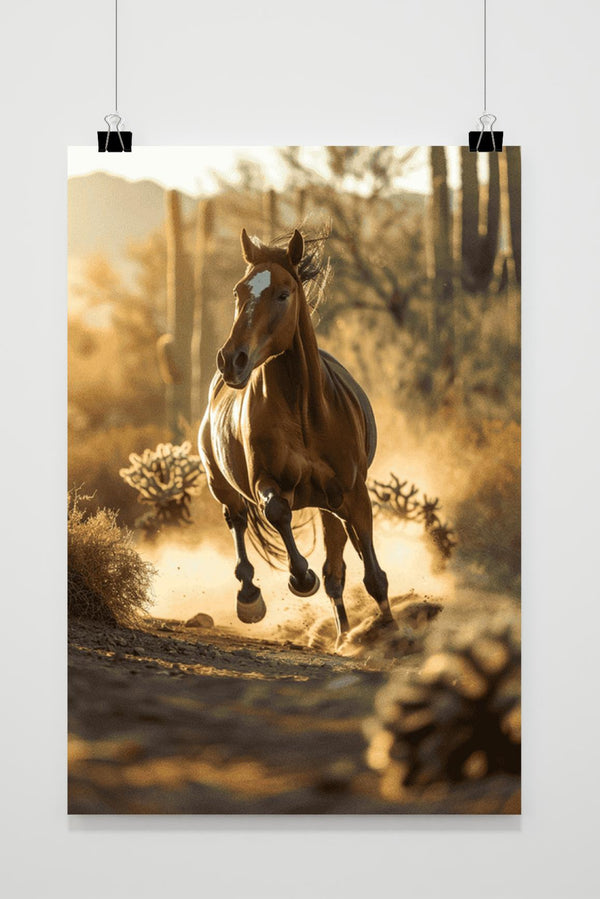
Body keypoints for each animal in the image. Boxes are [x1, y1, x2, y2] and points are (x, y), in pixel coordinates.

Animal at [199, 228, 396, 647]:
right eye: (238, 292)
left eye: (283, 293)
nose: (231, 360)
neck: (304, 412)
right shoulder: (267, 482)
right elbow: (278, 513)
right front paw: (301, 578)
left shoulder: (353, 493)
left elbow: (370, 569)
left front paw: (390, 629)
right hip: (220, 483)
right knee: (237, 522)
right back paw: (250, 597)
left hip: (331, 505)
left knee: (339, 566)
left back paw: (345, 634)